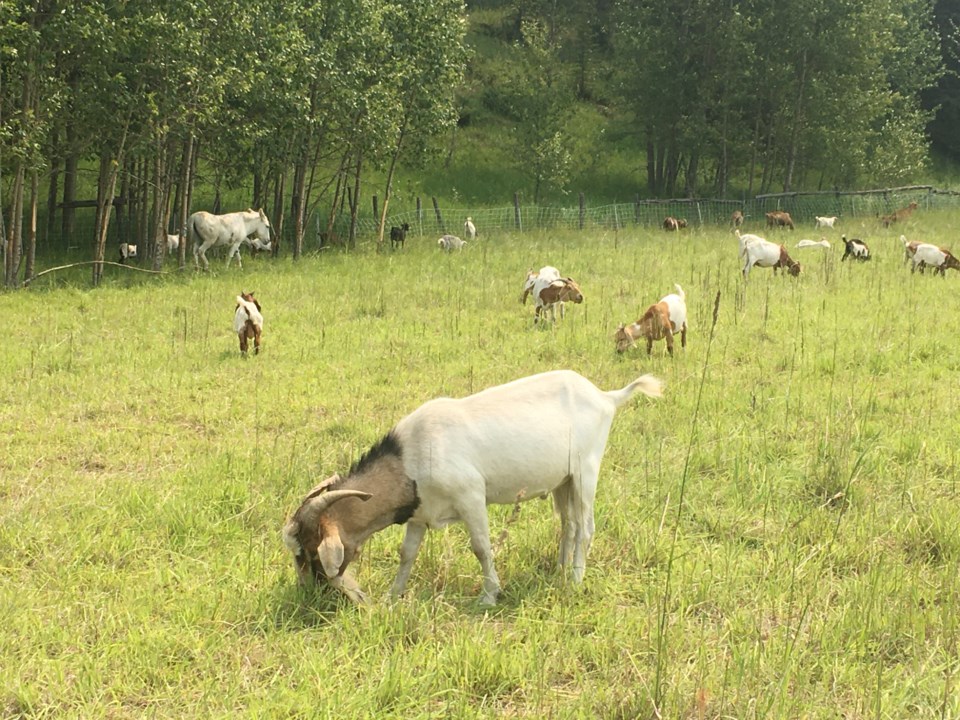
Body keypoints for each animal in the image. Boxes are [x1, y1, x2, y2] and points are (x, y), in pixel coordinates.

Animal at [282, 368, 664, 604]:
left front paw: (490, 595)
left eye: (308, 551)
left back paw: (575, 580)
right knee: (568, 524)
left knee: (585, 526)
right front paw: (393, 595)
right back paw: (559, 569)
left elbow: (481, 547)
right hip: (563, 480)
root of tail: (606, 396)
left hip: (586, 470)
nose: (309, 596)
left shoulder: (471, 497)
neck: (411, 456)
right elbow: (407, 554)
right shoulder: (419, 514)